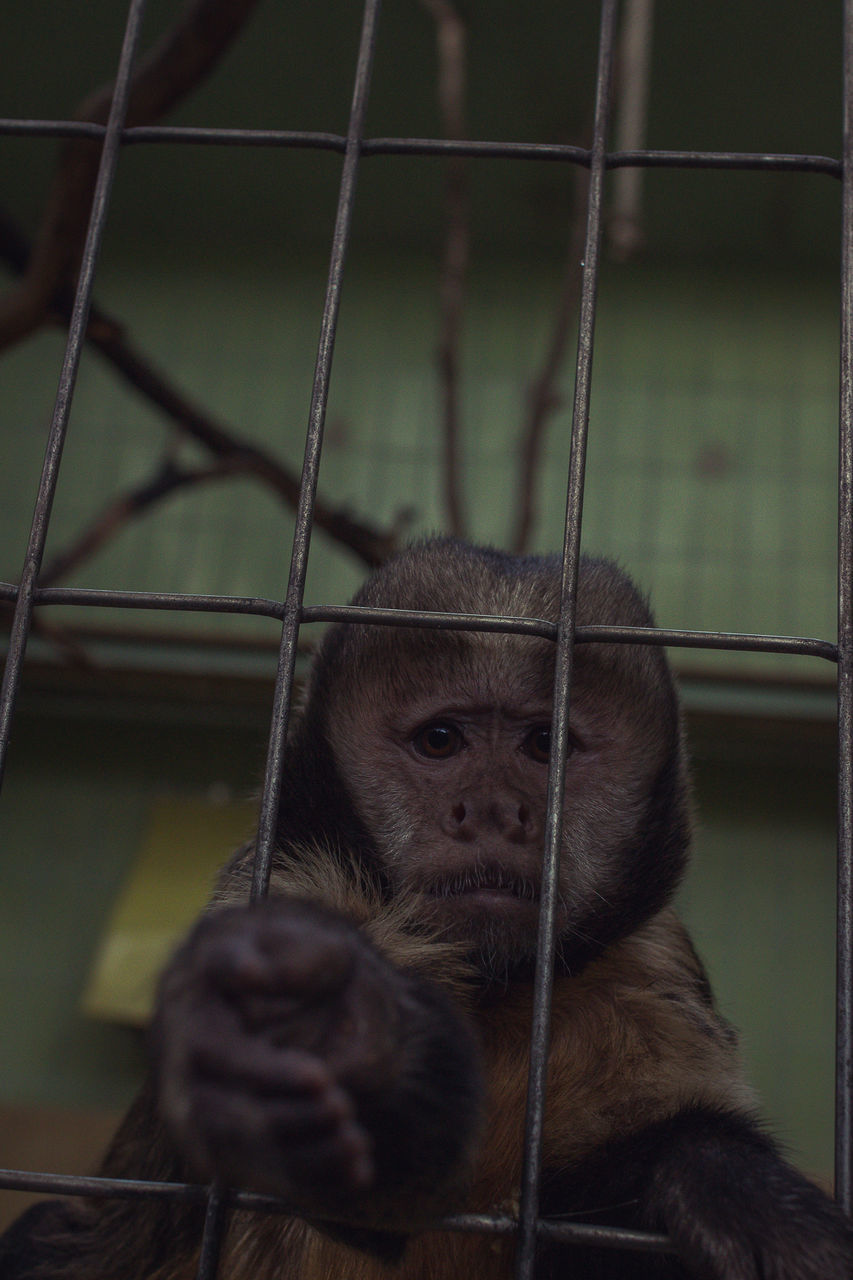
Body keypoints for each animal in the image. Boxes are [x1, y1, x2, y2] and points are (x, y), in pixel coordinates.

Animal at [1, 535, 850, 1274]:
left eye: (544, 745)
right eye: (440, 741)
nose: (494, 811)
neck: (494, 989)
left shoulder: (647, 960)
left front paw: (715, 1176)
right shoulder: (282, 874)